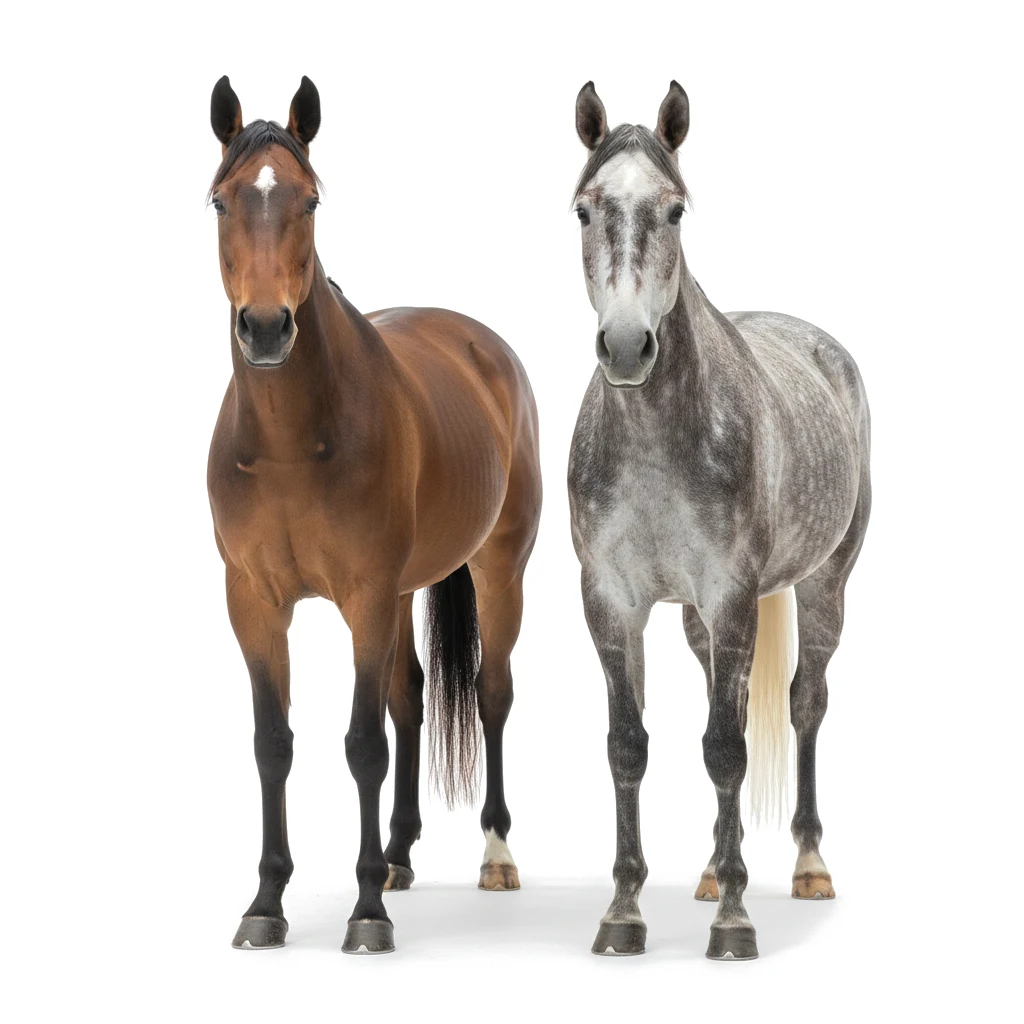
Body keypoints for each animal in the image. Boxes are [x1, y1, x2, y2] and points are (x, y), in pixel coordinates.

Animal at [206, 76, 541, 954]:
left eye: (311, 200)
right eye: (220, 200)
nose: (265, 328)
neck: (291, 440)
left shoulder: (362, 595)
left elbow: (362, 744)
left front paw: (365, 915)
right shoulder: (254, 603)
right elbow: (274, 744)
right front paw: (266, 903)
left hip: (496, 572)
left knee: (490, 693)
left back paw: (495, 854)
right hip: (399, 595)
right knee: (412, 697)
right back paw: (396, 855)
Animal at [567, 81, 871, 960]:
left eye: (674, 210)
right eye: (585, 210)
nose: (626, 346)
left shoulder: (735, 595)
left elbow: (728, 748)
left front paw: (735, 922)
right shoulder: (611, 602)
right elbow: (629, 746)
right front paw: (623, 913)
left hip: (825, 585)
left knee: (805, 703)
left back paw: (807, 867)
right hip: (699, 620)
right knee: (718, 696)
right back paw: (709, 870)